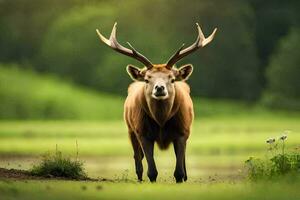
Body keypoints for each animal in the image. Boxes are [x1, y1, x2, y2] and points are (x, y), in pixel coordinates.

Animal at [97, 22, 217, 183]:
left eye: (172, 79)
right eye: (147, 79)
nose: (159, 88)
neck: (161, 120)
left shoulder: (182, 132)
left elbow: (179, 171)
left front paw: (181, 178)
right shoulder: (142, 133)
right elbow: (152, 171)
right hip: (130, 129)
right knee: (137, 158)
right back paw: (139, 178)